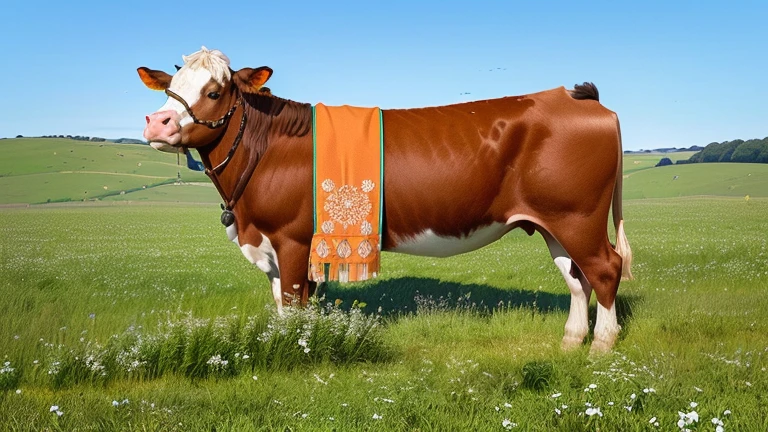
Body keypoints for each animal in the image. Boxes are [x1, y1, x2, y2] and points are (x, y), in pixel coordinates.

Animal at [138, 47, 633, 353]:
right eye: (169, 87)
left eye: (215, 90)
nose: (157, 122)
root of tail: (578, 97)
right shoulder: (272, 245)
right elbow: (284, 305)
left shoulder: (292, 240)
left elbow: (296, 307)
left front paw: (294, 354)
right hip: (554, 222)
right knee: (577, 278)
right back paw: (571, 341)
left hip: (578, 216)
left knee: (605, 269)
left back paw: (602, 345)